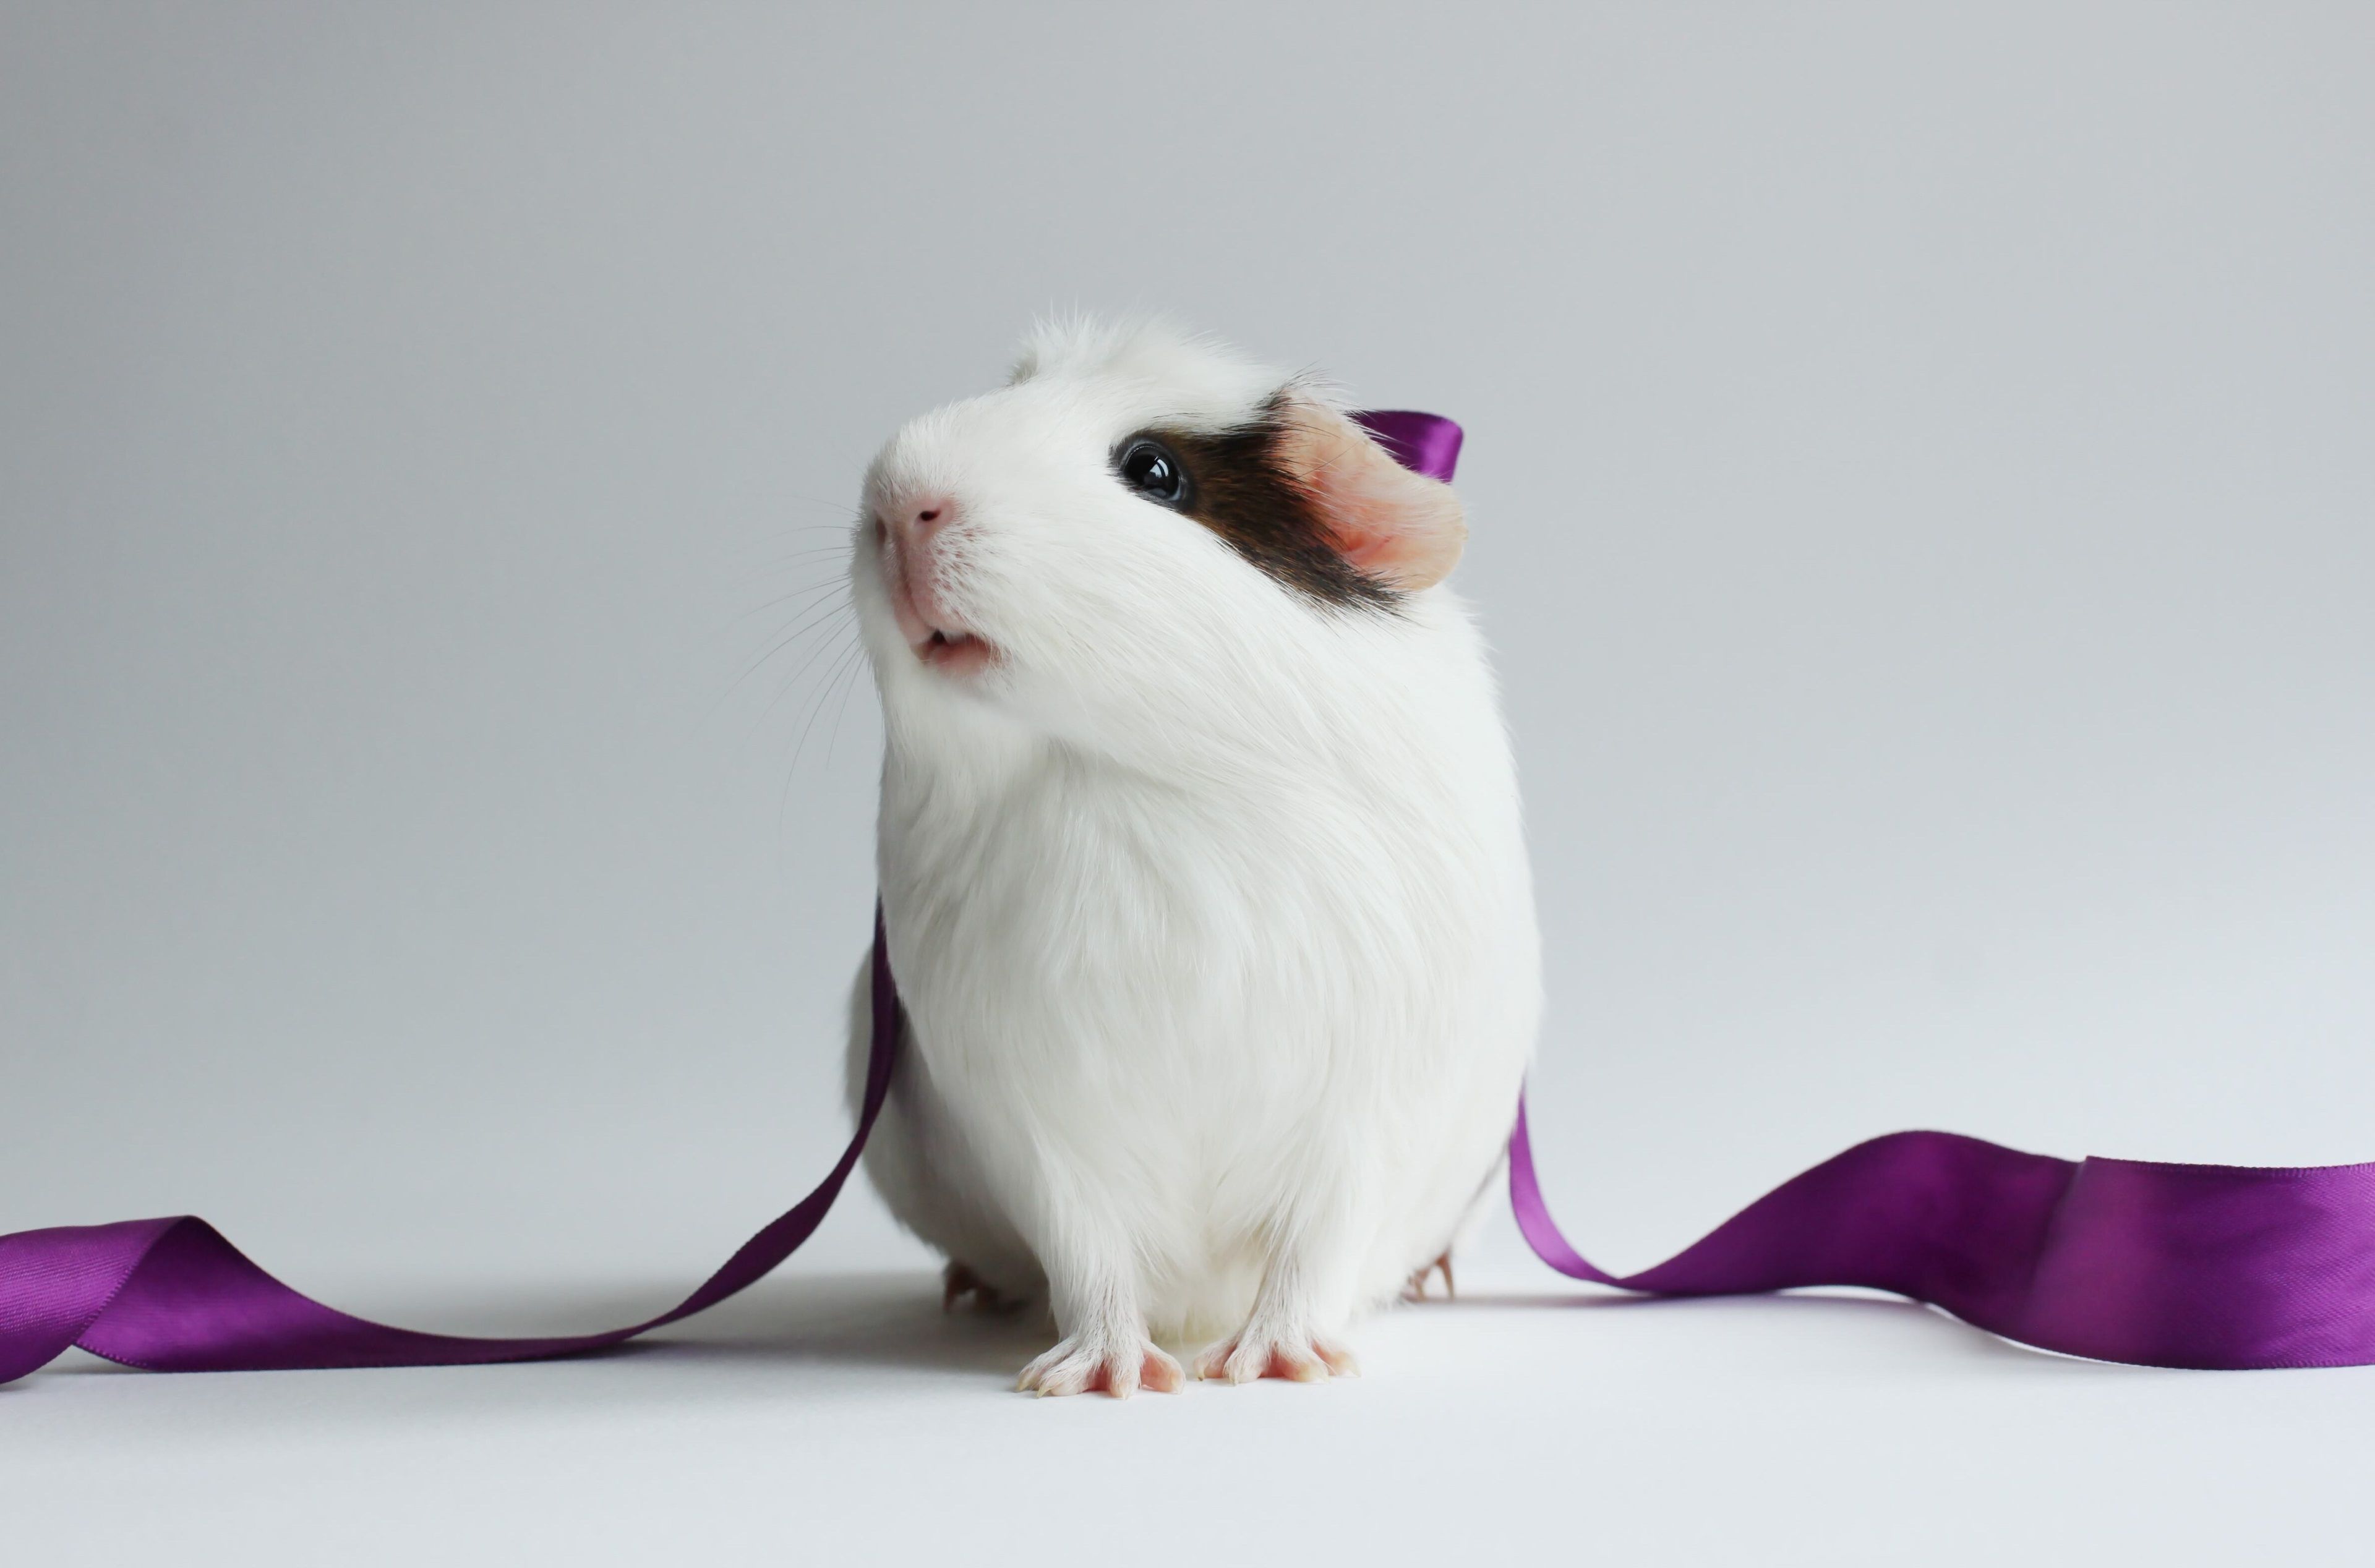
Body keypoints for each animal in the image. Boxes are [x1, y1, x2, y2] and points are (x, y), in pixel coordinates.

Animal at [841, 319, 1539, 1396]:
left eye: (1154, 471)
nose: (896, 499)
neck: (1134, 782)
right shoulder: (1041, 1123)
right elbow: (1090, 1258)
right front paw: (1100, 1377)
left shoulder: (1362, 1115)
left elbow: (1313, 1248)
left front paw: (1277, 1366)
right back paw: (974, 1290)